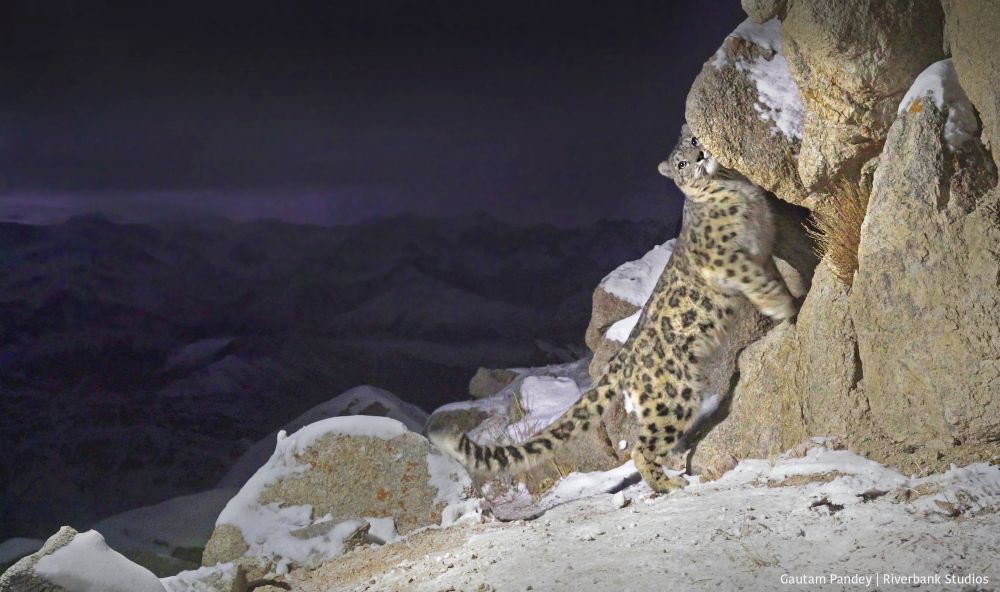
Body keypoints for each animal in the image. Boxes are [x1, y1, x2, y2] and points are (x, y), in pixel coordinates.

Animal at [430, 126, 796, 494]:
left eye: (694, 142)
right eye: (681, 163)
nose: (700, 157)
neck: (732, 186)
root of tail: (624, 357)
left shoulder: (762, 247)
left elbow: (772, 273)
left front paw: (789, 293)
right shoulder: (722, 258)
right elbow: (755, 279)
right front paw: (785, 307)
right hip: (674, 395)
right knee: (641, 447)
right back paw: (670, 483)